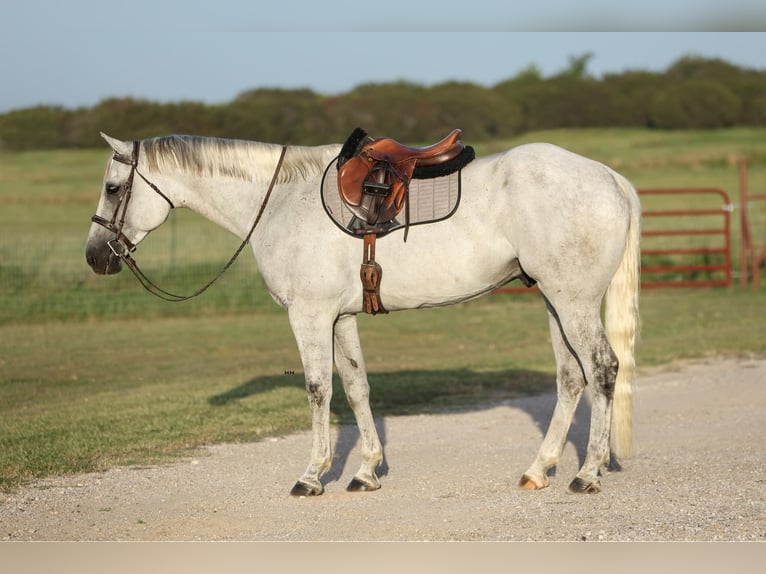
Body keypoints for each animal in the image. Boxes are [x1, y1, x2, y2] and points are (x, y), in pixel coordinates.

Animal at [85, 131, 640, 496]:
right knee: (571, 378)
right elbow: (356, 388)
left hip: (571, 302)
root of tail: (611, 178)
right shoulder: (341, 319)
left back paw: (586, 474)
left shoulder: (309, 317)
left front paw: (312, 475)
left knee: (602, 369)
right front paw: (365, 470)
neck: (282, 200)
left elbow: (318, 390)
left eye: (113, 188)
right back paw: (538, 469)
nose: (95, 257)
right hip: (555, 300)